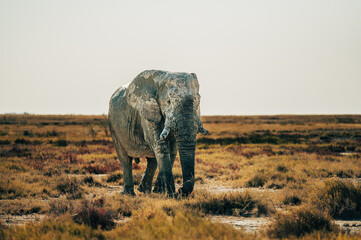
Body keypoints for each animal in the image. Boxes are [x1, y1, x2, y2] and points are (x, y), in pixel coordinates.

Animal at [108, 69, 207, 197]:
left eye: (198, 101)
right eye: (168, 102)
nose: (180, 190)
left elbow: (172, 149)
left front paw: (164, 193)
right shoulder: (146, 111)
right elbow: (160, 145)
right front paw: (170, 195)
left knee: (152, 160)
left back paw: (145, 191)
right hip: (114, 127)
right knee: (125, 159)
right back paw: (128, 194)